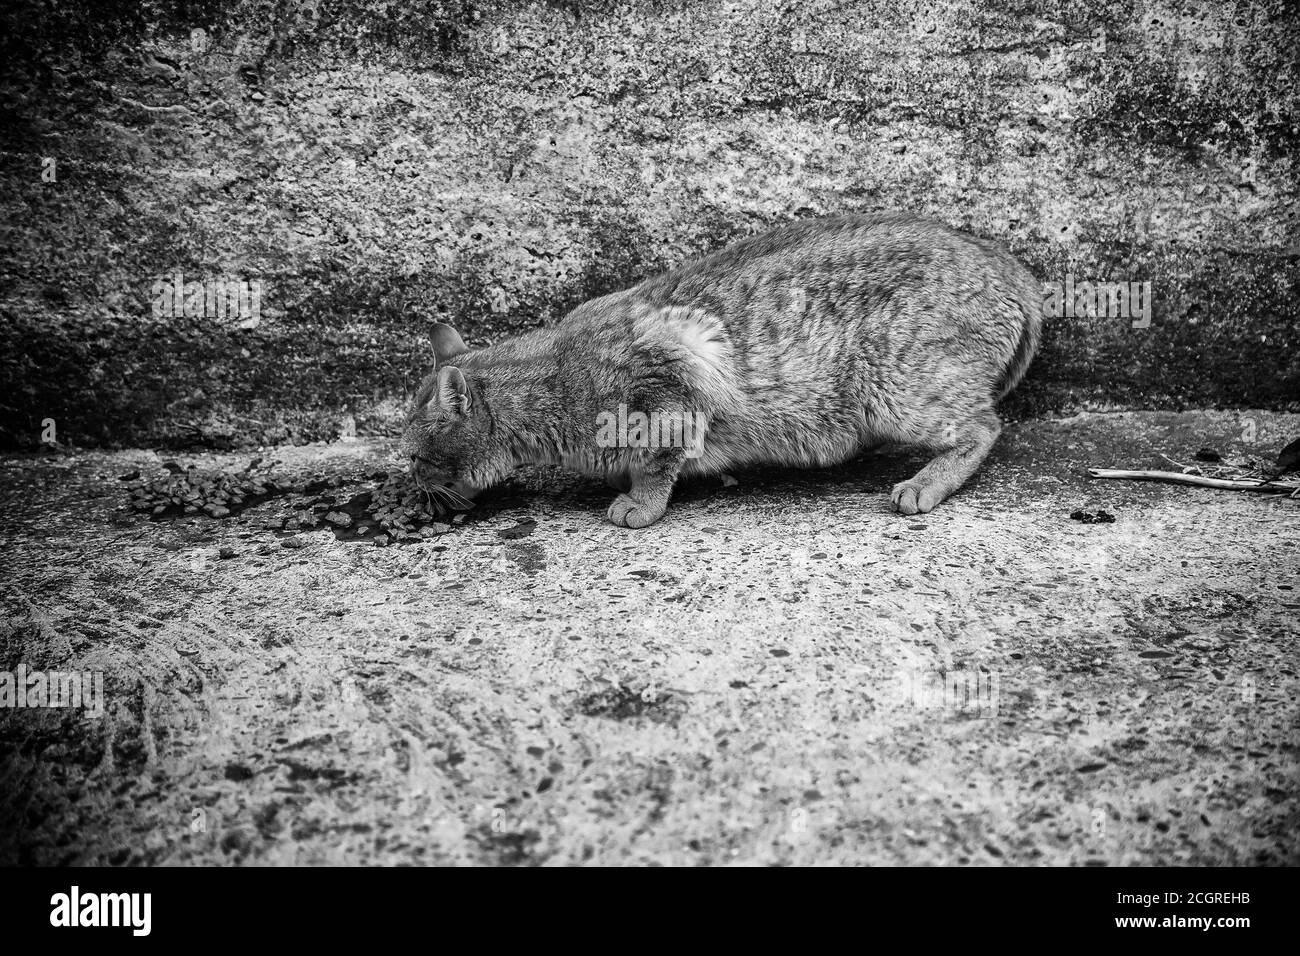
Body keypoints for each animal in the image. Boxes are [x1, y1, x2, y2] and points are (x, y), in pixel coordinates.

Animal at [400, 213, 1040, 530]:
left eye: (411, 454)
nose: (412, 483)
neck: (552, 376)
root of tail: (1015, 269)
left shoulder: (674, 386)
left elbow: (657, 463)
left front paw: (638, 502)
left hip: (899, 390)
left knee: (984, 427)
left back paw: (925, 483)